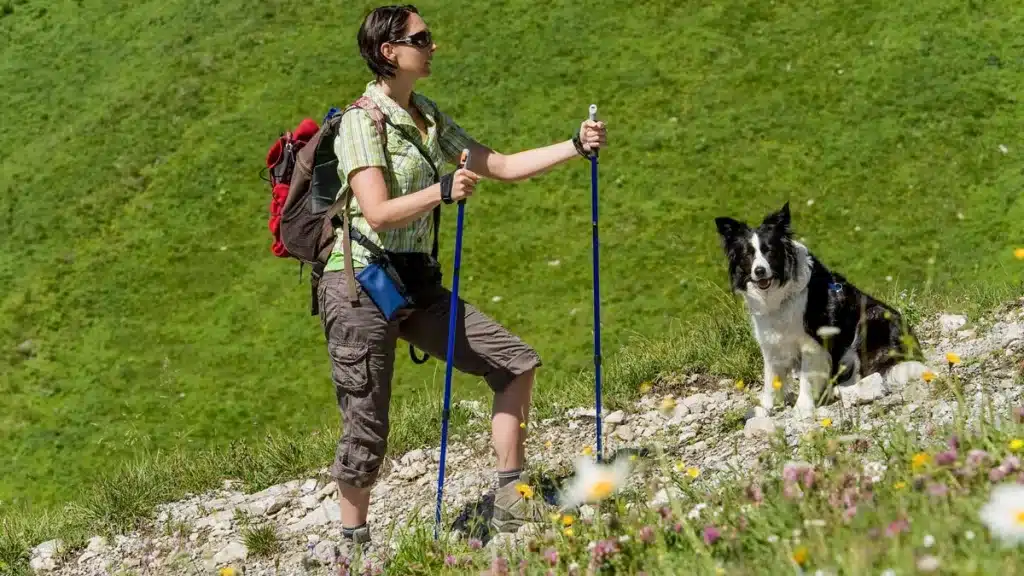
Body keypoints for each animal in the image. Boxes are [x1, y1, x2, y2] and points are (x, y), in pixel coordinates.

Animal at [716, 201, 925, 416]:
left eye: (770, 251)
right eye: (748, 254)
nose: (759, 271)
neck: (781, 293)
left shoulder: (813, 343)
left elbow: (806, 379)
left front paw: (802, 408)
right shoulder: (772, 342)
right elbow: (771, 378)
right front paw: (765, 407)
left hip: (871, 319)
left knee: (867, 371)